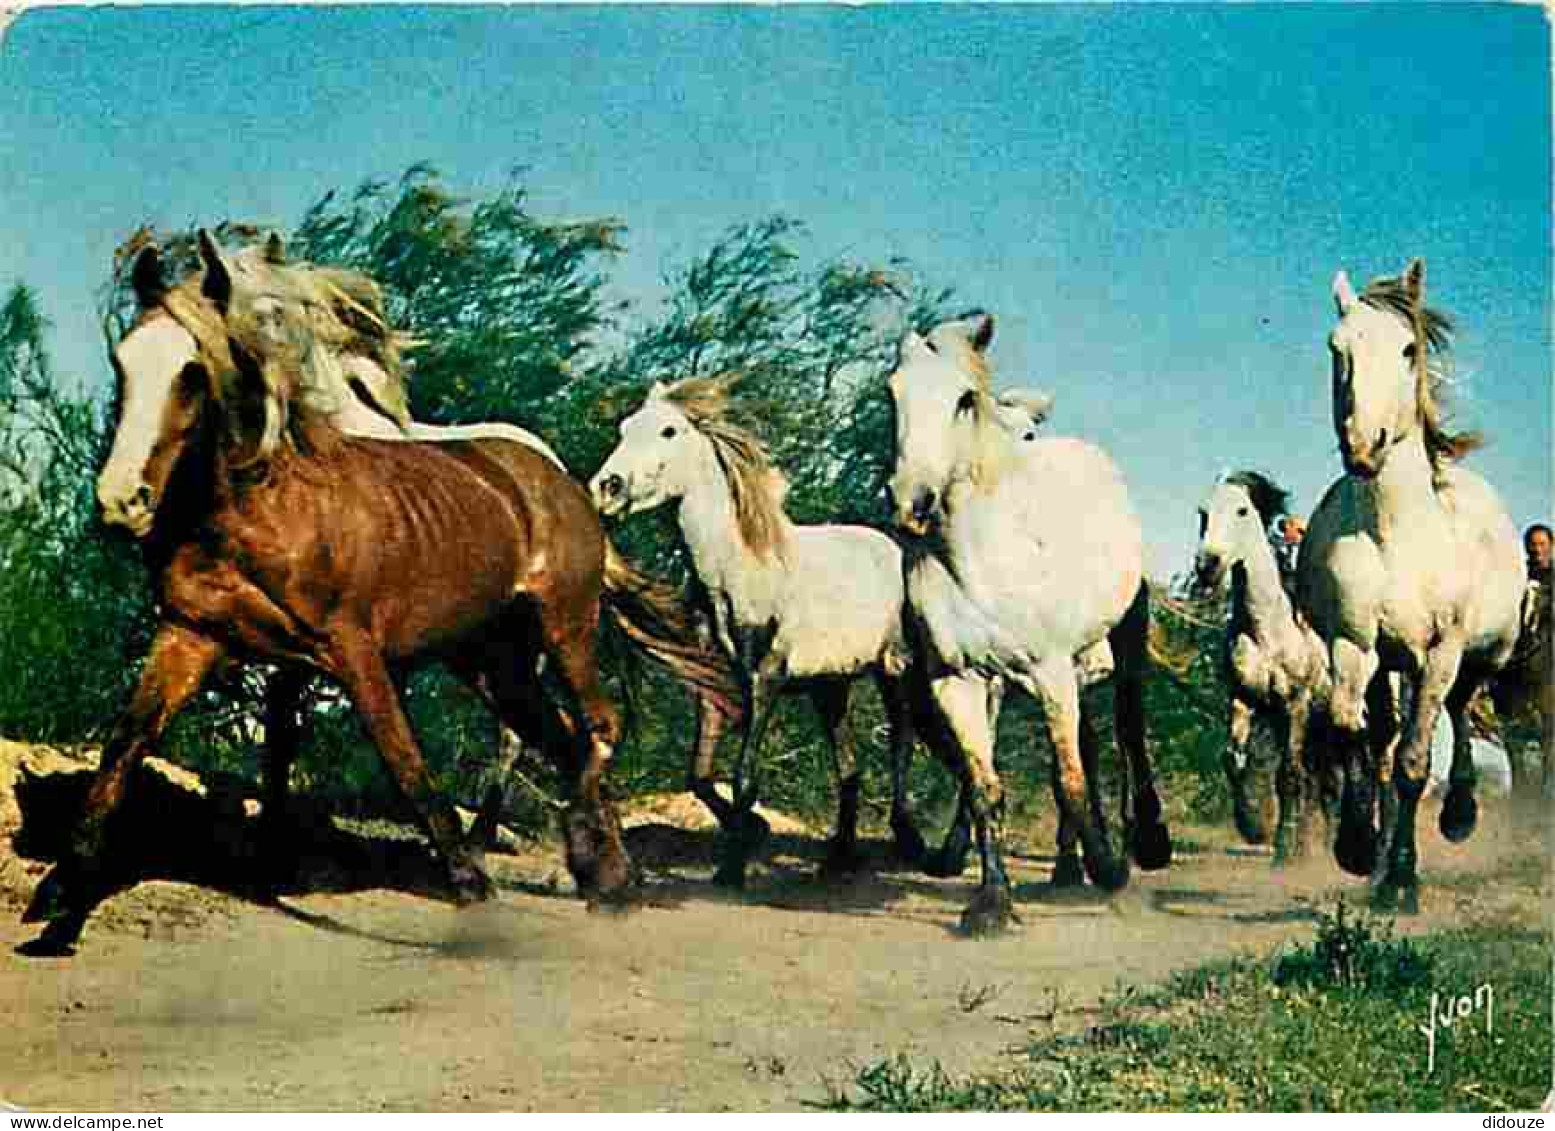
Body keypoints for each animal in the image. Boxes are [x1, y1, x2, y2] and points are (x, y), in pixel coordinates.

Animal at [21, 231, 730, 958]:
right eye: (122, 363)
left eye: (193, 371)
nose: (120, 501)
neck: (259, 508)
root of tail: (562, 481)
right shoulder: (190, 635)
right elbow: (125, 746)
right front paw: (61, 900)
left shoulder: (351, 648)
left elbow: (405, 761)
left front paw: (476, 895)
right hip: (491, 659)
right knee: (560, 740)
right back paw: (608, 880)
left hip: (564, 626)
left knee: (596, 729)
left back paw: (600, 870)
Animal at [590, 376, 932, 889]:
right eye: (625, 427)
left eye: (669, 430)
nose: (606, 489)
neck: (739, 572)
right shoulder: (715, 684)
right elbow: (699, 774)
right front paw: (752, 832)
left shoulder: (763, 679)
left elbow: (744, 775)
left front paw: (733, 868)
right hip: (830, 687)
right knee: (850, 767)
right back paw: (840, 858)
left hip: (895, 670)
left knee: (902, 745)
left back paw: (916, 846)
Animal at [889, 314, 1169, 933]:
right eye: (892, 392)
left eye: (963, 399)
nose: (912, 502)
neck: (977, 559)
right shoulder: (958, 680)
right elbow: (983, 786)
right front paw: (991, 903)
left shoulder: (1051, 671)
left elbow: (1069, 781)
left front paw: (1110, 871)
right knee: (1091, 744)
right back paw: (1067, 866)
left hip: (1121, 642)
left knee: (1126, 733)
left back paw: (1140, 846)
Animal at [1188, 469, 1337, 858]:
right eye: (1202, 512)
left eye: (1242, 510)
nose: (1207, 566)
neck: (1267, 629)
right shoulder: (1243, 698)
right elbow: (1232, 759)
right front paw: (1254, 824)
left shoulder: (1296, 705)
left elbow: (1288, 775)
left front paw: (1283, 850)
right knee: (1324, 783)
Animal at [1293, 261, 1523, 914]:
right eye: (1336, 348)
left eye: (1408, 349)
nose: (1362, 445)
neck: (1394, 532)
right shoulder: (1353, 643)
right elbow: (1354, 735)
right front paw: (1356, 847)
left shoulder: (1443, 649)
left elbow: (1415, 762)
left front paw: (1400, 882)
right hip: (1393, 662)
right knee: (1385, 733)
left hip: (1476, 655)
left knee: (1461, 709)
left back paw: (1459, 816)